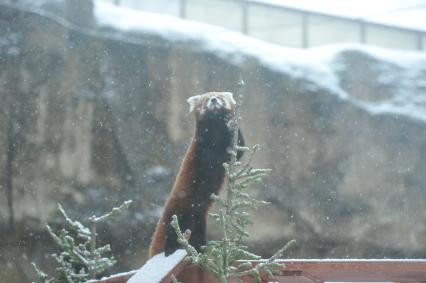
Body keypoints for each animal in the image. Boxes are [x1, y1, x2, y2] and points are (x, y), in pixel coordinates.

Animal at [149, 92, 245, 258]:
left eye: (219, 96)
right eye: (207, 99)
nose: (213, 100)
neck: (216, 128)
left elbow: (239, 150)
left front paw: (231, 122)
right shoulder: (201, 146)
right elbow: (212, 158)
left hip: (199, 221)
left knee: (198, 237)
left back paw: (198, 251)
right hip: (178, 212)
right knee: (172, 232)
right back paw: (171, 249)